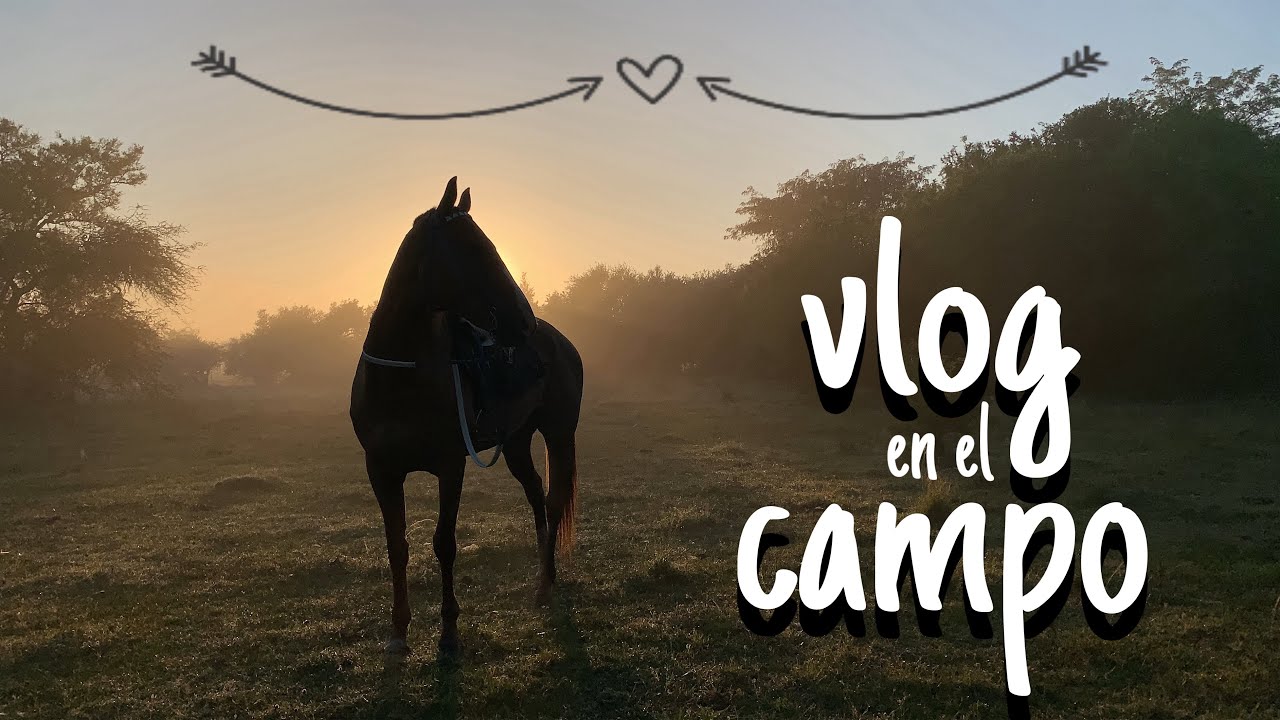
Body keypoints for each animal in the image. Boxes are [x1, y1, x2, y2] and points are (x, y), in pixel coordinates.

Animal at [349, 177, 584, 657]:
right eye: (474, 249)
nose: (525, 323)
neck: (402, 375)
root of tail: (560, 342)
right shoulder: (381, 470)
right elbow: (397, 545)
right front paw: (399, 631)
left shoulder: (449, 466)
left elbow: (444, 542)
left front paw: (449, 633)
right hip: (516, 443)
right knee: (536, 494)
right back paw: (545, 575)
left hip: (559, 433)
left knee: (553, 499)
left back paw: (545, 585)